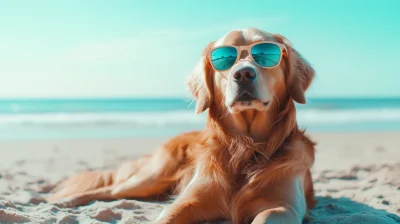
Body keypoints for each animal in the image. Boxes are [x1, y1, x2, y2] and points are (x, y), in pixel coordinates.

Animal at [47, 28, 316, 224]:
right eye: (223, 60)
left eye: (266, 54)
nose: (243, 74)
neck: (245, 149)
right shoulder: (188, 201)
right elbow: (169, 215)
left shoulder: (284, 206)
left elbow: (268, 214)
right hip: (150, 177)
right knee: (110, 190)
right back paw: (65, 200)